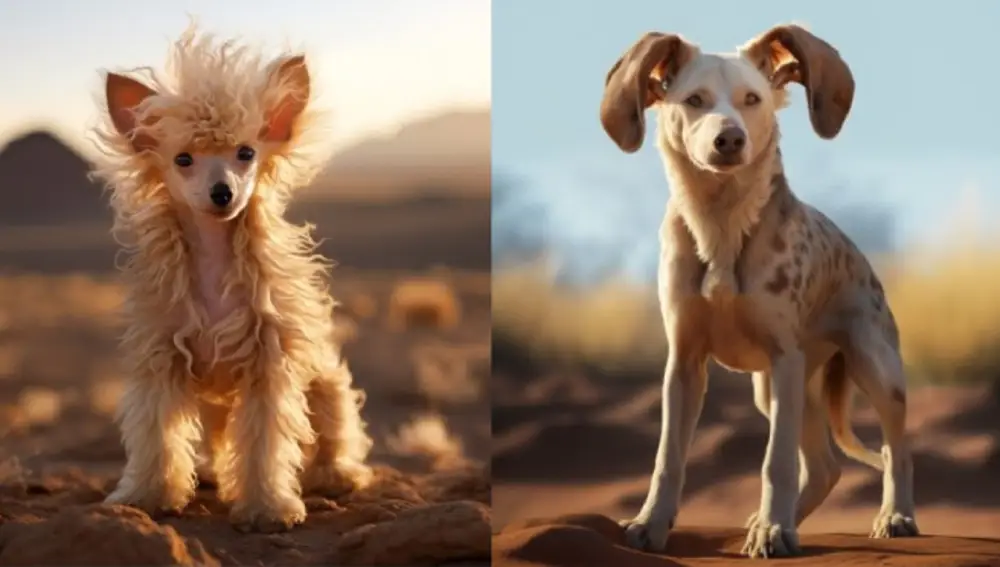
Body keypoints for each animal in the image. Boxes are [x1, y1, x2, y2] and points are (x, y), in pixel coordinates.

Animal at [92, 25, 374, 532]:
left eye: (246, 153)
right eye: (183, 159)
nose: (222, 192)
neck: (214, 260)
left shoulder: (269, 366)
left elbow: (265, 446)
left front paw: (267, 507)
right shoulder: (162, 361)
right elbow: (158, 438)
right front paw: (147, 496)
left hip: (323, 383)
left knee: (334, 427)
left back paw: (337, 474)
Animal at [596, 23, 916, 560]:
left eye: (753, 99)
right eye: (694, 99)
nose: (730, 138)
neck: (722, 226)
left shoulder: (784, 357)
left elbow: (775, 461)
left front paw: (774, 531)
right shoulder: (684, 364)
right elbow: (668, 457)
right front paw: (650, 524)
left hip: (873, 368)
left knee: (897, 449)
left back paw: (894, 515)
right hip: (776, 389)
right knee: (826, 467)